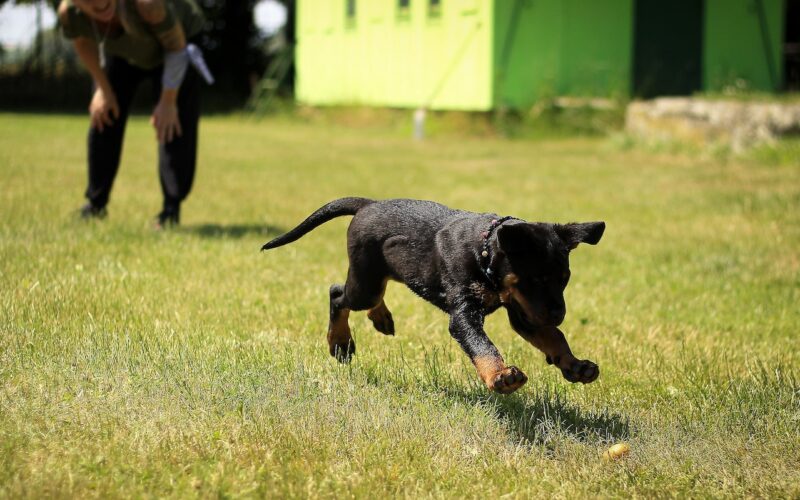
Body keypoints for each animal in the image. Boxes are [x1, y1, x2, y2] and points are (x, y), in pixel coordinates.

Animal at [264, 197, 608, 392]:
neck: (483, 252)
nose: (559, 314)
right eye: (536, 279)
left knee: (373, 294)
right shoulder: (466, 314)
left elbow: (554, 337)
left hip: (380, 275)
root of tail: (368, 204)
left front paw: (575, 365)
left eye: (564, 279)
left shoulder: (524, 312)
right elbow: (482, 345)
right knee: (338, 294)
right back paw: (340, 342)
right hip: (364, 282)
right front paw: (500, 376)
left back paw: (381, 318)